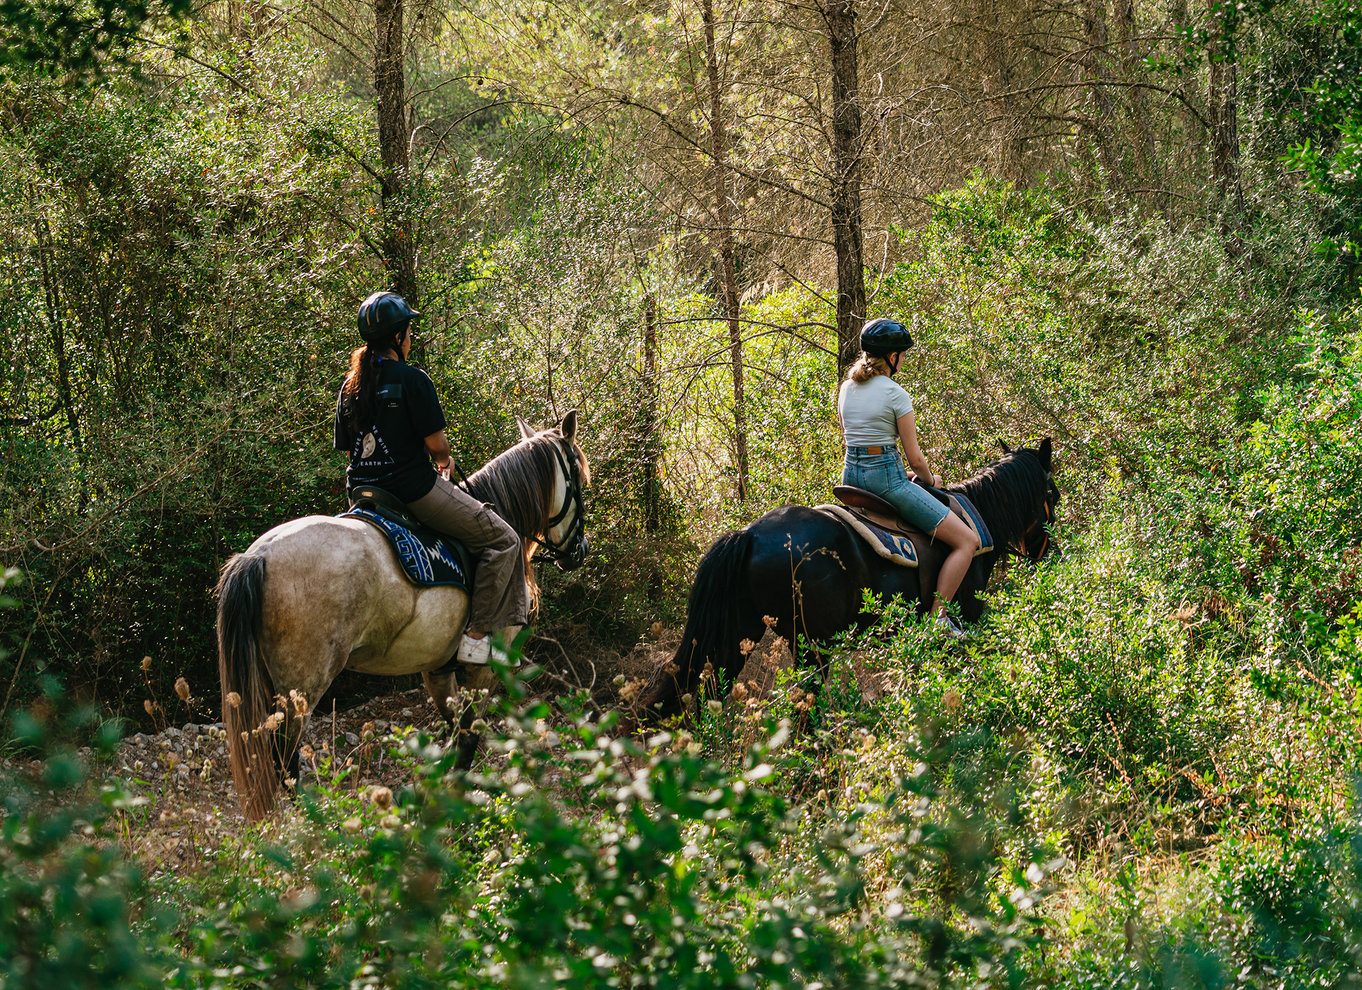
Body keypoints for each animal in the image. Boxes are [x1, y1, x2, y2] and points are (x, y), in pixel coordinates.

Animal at [651, 438, 1062, 713]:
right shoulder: (972, 613)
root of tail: (750, 534)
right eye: (1053, 495)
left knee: (709, 691)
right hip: (811, 646)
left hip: (741, 634)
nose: (1050, 554)